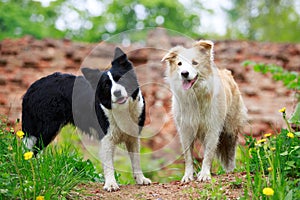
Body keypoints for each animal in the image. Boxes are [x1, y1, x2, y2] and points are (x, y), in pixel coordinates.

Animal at [22, 47, 151, 191]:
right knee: (32, 150)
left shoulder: (133, 137)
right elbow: (109, 164)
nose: (117, 93)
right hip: (47, 129)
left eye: (121, 79)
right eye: (106, 85)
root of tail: (32, 87)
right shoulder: (106, 138)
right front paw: (111, 184)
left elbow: (136, 160)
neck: (122, 109)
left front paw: (140, 179)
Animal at [163, 39, 247, 182]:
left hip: (230, 130)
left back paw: (230, 170)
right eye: (179, 64)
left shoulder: (213, 128)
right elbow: (189, 157)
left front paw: (204, 174)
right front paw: (188, 176)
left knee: (230, 152)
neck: (195, 96)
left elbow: (208, 154)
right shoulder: (185, 130)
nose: (184, 73)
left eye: (194, 62)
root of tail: (227, 72)